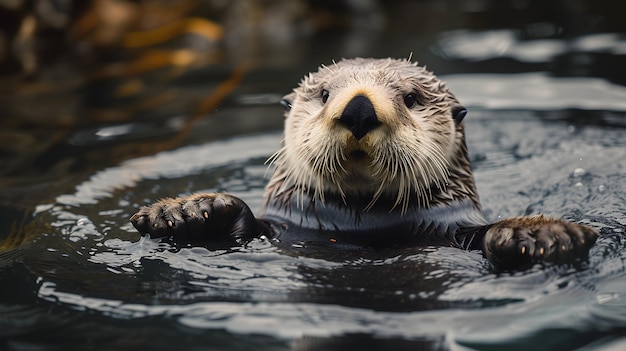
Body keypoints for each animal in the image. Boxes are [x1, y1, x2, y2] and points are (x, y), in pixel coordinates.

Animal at [129, 57, 596, 270]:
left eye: (411, 98)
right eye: (323, 95)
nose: (358, 108)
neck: (361, 224)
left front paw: (538, 233)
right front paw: (188, 210)